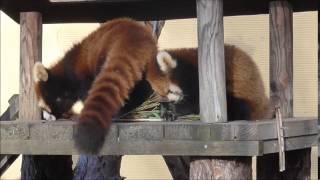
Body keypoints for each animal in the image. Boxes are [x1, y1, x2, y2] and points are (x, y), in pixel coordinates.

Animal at [33, 17, 157, 153]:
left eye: (45, 106)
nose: (47, 117)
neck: (67, 70)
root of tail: (134, 36)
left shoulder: (81, 77)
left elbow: (85, 92)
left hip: (102, 56)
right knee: (143, 88)